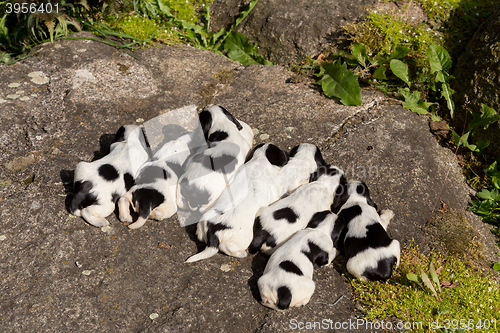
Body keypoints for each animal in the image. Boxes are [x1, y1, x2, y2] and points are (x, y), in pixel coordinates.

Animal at [186, 142, 326, 262]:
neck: (260, 160)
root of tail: (213, 233)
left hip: (202, 226)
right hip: (244, 238)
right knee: (228, 249)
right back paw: (242, 254)